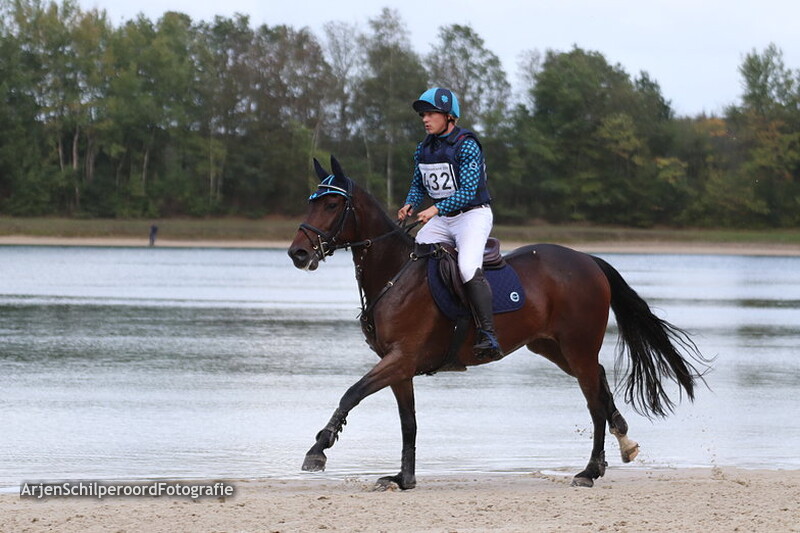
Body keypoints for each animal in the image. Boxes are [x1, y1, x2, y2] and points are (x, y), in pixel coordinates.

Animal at [288, 156, 710, 489]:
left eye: (331, 204)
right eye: (311, 202)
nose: (298, 253)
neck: (394, 274)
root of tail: (587, 259)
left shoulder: (401, 358)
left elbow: (351, 393)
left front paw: (318, 449)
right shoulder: (399, 367)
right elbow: (408, 422)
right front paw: (404, 478)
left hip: (577, 345)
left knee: (593, 401)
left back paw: (590, 471)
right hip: (553, 347)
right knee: (602, 383)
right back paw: (622, 446)